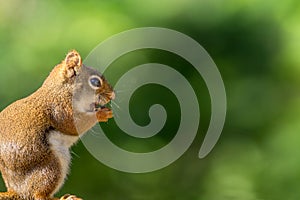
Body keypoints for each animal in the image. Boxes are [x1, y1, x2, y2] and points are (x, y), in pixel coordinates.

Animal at [0, 49, 115, 199]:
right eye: (95, 81)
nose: (112, 95)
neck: (62, 91)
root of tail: (16, 190)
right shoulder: (60, 110)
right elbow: (74, 125)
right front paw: (101, 114)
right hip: (50, 167)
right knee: (38, 195)